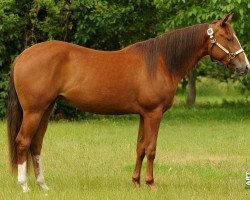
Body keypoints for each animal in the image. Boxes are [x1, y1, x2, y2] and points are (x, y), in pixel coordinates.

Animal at [6, 13, 249, 191]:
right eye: (229, 38)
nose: (245, 66)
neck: (160, 62)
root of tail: (22, 56)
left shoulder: (143, 114)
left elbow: (140, 148)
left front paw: (136, 182)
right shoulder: (153, 113)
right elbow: (151, 148)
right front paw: (151, 184)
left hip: (46, 109)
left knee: (36, 144)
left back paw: (43, 186)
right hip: (34, 111)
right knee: (23, 142)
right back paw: (24, 186)